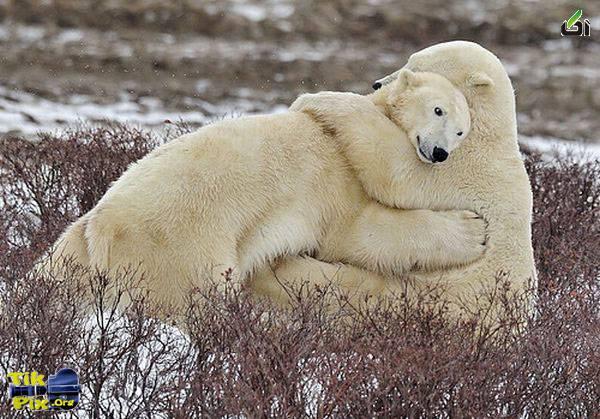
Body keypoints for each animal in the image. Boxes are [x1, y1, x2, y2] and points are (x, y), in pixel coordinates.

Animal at [49, 70, 486, 310]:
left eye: (461, 131)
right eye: (438, 110)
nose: (440, 153)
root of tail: (102, 226)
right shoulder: (338, 174)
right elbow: (359, 232)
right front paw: (473, 231)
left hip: (75, 250)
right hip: (177, 247)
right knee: (191, 301)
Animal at [255, 41, 536, 322]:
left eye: (416, 65)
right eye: (411, 59)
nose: (377, 83)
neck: (489, 131)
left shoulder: (459, 167)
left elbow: (395, 170)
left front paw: (317, 99)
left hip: (431, 294)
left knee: (349, 284)